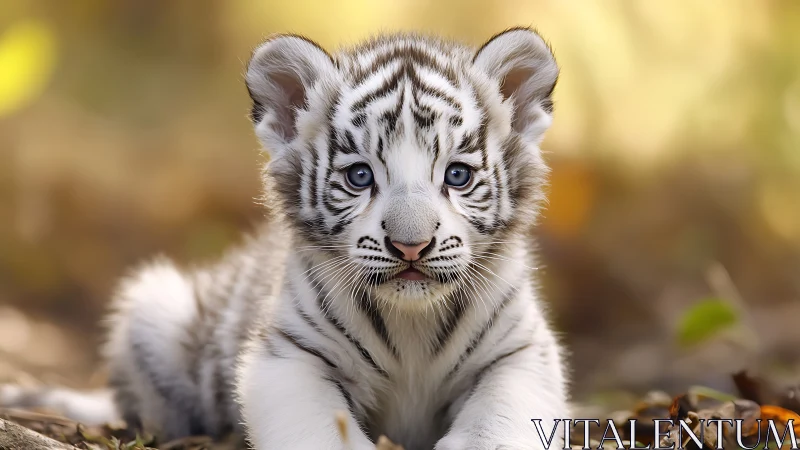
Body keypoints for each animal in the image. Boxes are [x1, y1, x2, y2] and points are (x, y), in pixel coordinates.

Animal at [3, 28, 570, 450]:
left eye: (457, 176)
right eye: (360, 177)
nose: (411, 246)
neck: (411, 323)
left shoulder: (521, 353)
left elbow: (496, 423)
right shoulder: (289, 357)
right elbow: (320, 432)